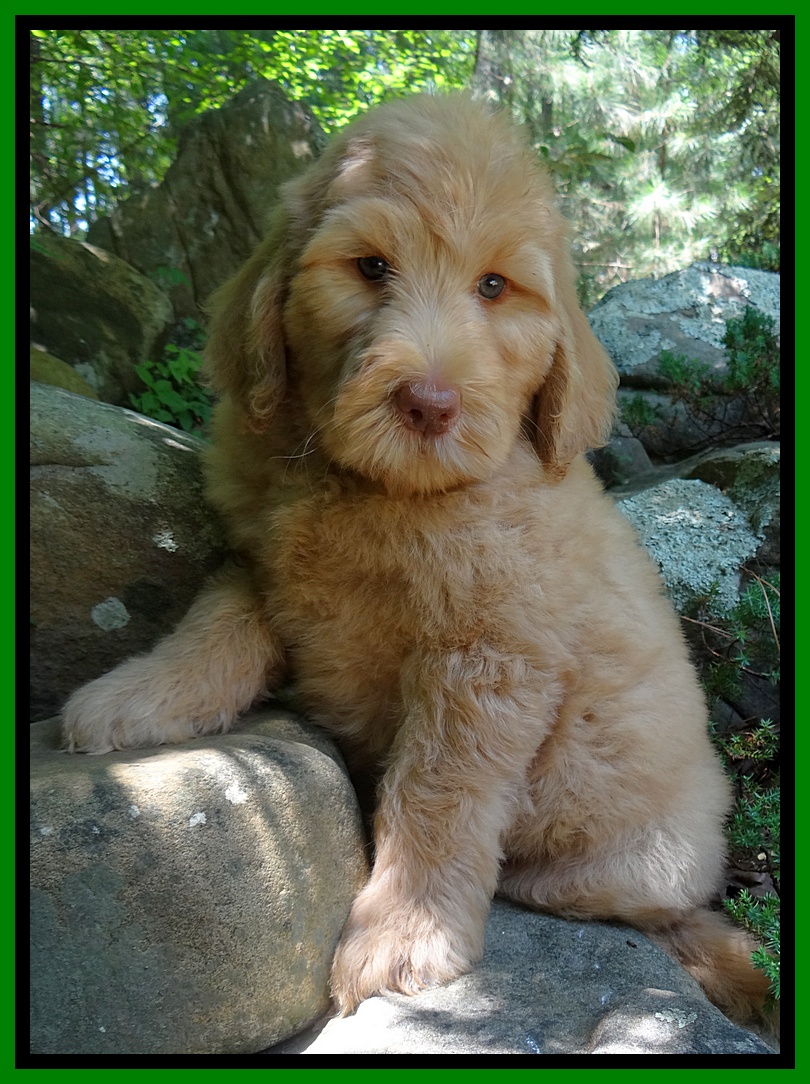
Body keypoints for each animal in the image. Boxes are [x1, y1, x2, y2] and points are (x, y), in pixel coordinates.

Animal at [63, 93, 773, 1030]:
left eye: (494, 286)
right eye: (370, 267)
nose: (429, 402)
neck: (387, 491)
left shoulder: (486, 659)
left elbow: (436, 797)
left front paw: (405, 933)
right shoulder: (267, 565)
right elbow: (214, 625)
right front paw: (135, 697)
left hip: (627, 859)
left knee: (658, 913)